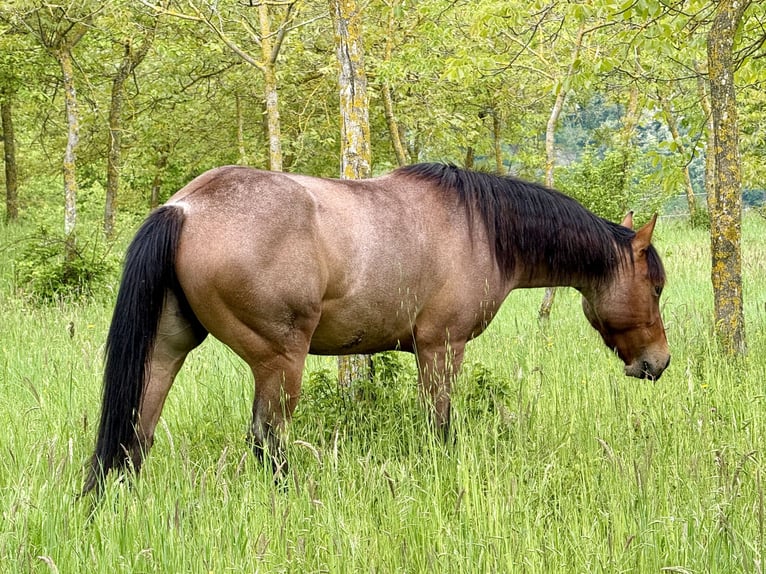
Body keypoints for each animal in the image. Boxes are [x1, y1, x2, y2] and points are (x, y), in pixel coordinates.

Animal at [83, 163, 670, 494]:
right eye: (657, 286)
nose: (658, 362)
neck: (481, 226)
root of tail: (184, 207)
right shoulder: (441, 348)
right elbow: (440, 425)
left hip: (165, 349)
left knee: (134, 434)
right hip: (279, 360)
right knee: (267, 440)